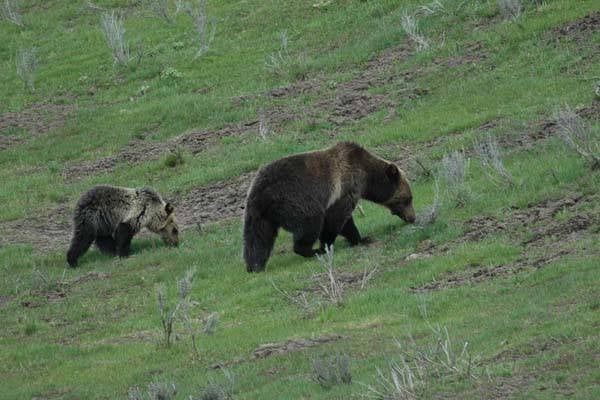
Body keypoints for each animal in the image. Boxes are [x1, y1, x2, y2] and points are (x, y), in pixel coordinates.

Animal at [243, 141, 415, 272]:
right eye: (408, 199)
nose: (412, 217)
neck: (366, 176)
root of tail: (260, 194)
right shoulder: (344, 190)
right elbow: (336, 220)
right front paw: (354, 240)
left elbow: (345, 221)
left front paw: (358, 238)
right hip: (293, 200)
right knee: (311, 223)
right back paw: (312, 250)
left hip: (259, 215)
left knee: (257, 238)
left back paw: (254, 265)